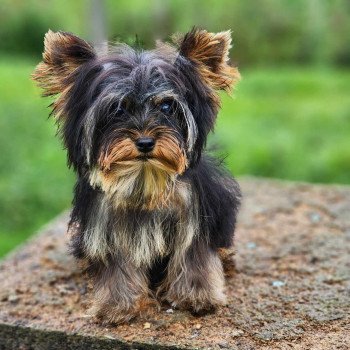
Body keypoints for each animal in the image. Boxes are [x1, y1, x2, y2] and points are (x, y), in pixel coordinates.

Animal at [32, 28, 241, 324]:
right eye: (118, 109)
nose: (144, 142)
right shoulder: (105, 226)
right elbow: (117, 263)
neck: (144, 177)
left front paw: (196, 296)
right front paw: (117, 305)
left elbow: (194, 253)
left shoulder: (196, 214)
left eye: (166, 107)